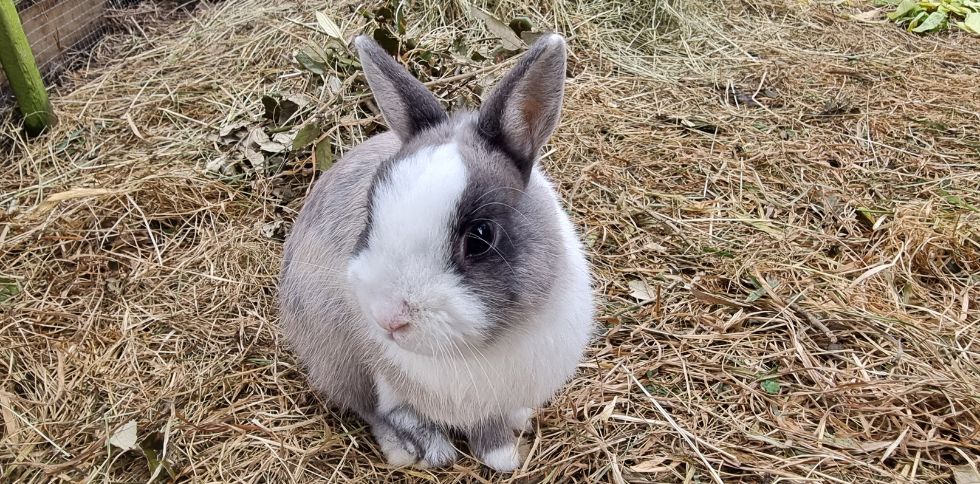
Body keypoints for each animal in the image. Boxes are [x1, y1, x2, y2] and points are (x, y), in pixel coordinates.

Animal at [279, 33, 594, 472]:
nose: (388, 318)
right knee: (371, 409)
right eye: (369, 213)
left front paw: (508, 440)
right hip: (337, 350)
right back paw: (416, 448)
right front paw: (502, 457)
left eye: (480, 237)